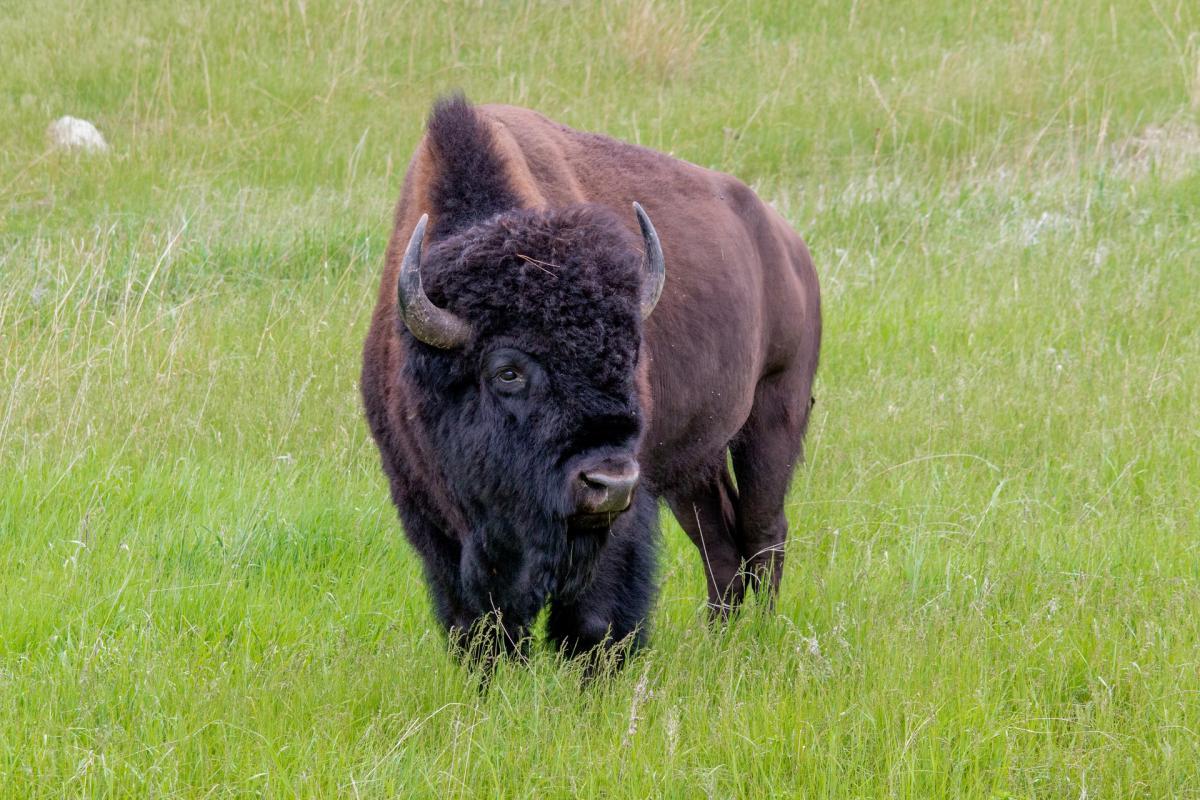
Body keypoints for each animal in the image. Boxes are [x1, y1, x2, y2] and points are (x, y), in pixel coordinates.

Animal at [360, 97, 820, 666]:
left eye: (628, 356)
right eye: (507, 372)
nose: (609, 482)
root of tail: (789, 245)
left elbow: (596, 619)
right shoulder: (432, 517)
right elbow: (479, 627)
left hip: (774, 414)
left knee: (764, 531)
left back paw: (758, 635)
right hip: (695, 465)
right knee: (721, 543)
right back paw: (720, 637)